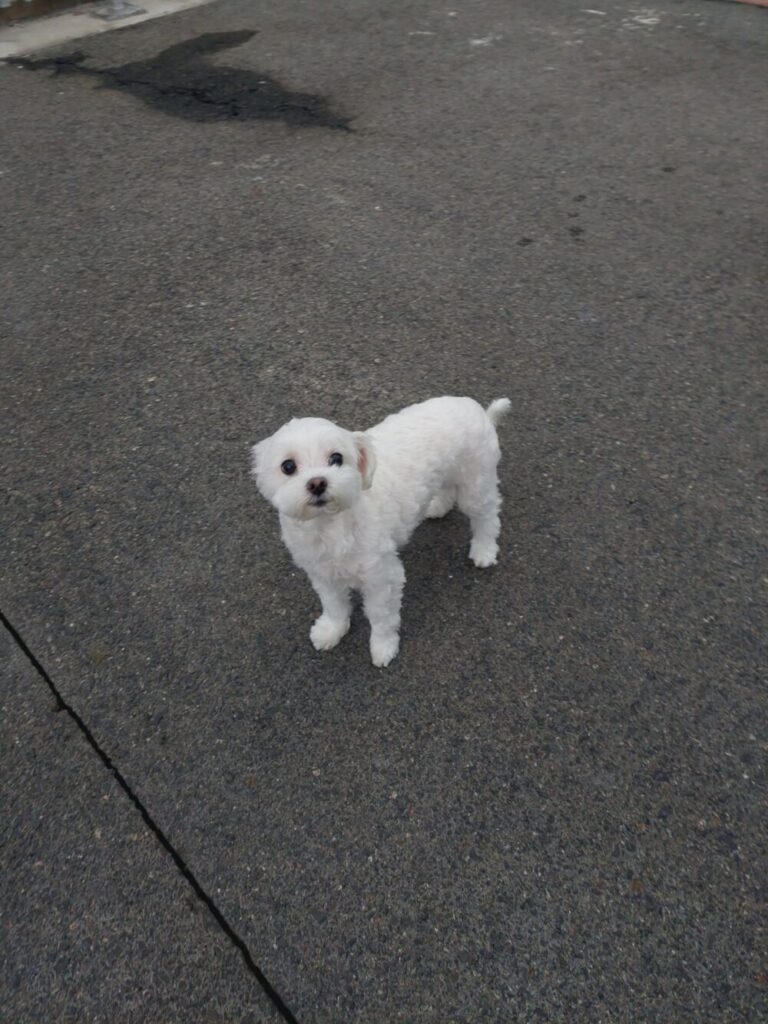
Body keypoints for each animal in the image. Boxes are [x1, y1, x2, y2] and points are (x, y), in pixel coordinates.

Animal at [251, 396, 510, 667]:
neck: (331, 525)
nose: (317, 483)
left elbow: (381, 616)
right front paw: (332, 630)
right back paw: (438, 506)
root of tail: (479, 410)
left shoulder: (382, 577)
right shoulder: (323, 573)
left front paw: (383, 647)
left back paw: (484, 550)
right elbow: (334, 605)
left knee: (487, 517)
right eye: (288, 466)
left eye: (336, 458)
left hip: (476, 483)